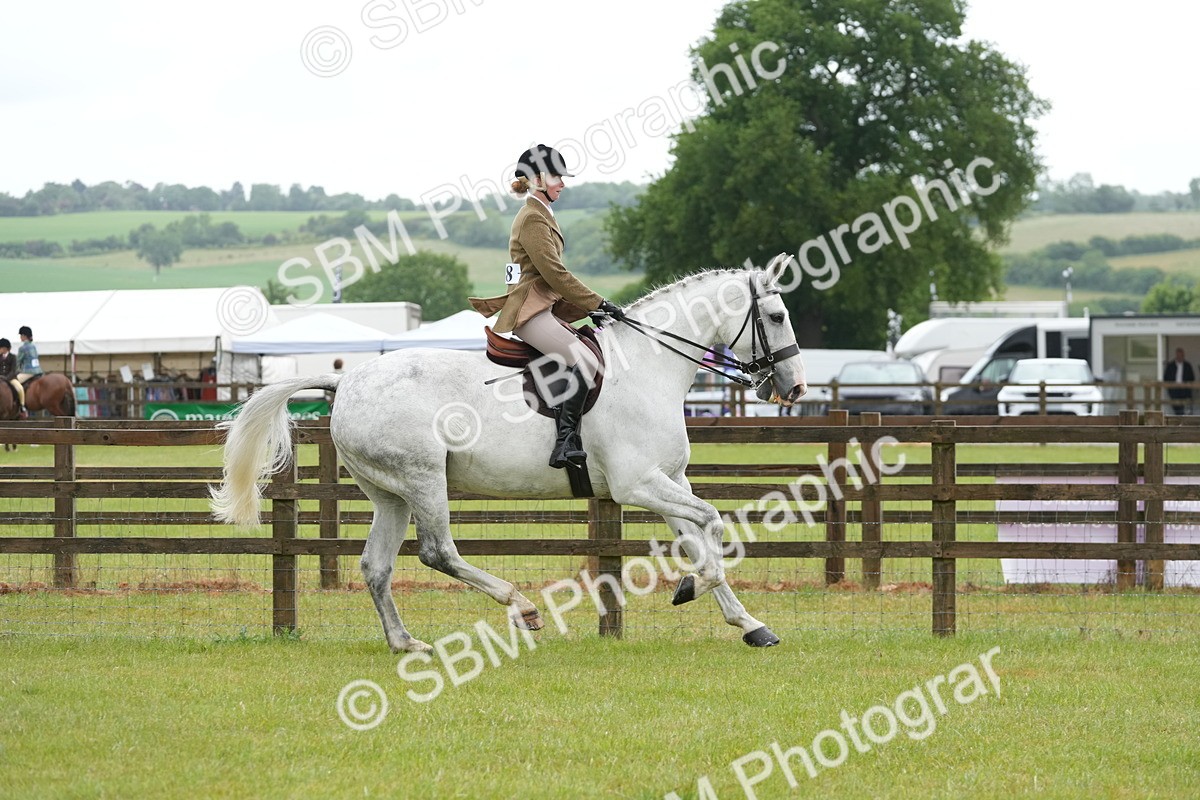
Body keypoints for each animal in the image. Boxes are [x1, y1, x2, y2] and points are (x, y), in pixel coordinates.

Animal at [210, 256, 807, 651]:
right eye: (777, 316)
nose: (795, 387)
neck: (649, 365)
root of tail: (348, 379)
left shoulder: (669, 480)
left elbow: (701, 533)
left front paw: (749, 624)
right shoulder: (637, 483)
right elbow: (713, 523)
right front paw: (692, 587)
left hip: (391, 495)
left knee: (376, 566)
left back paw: (406, 642)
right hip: (424, 479)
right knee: (438, 553)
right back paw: (521, 606)